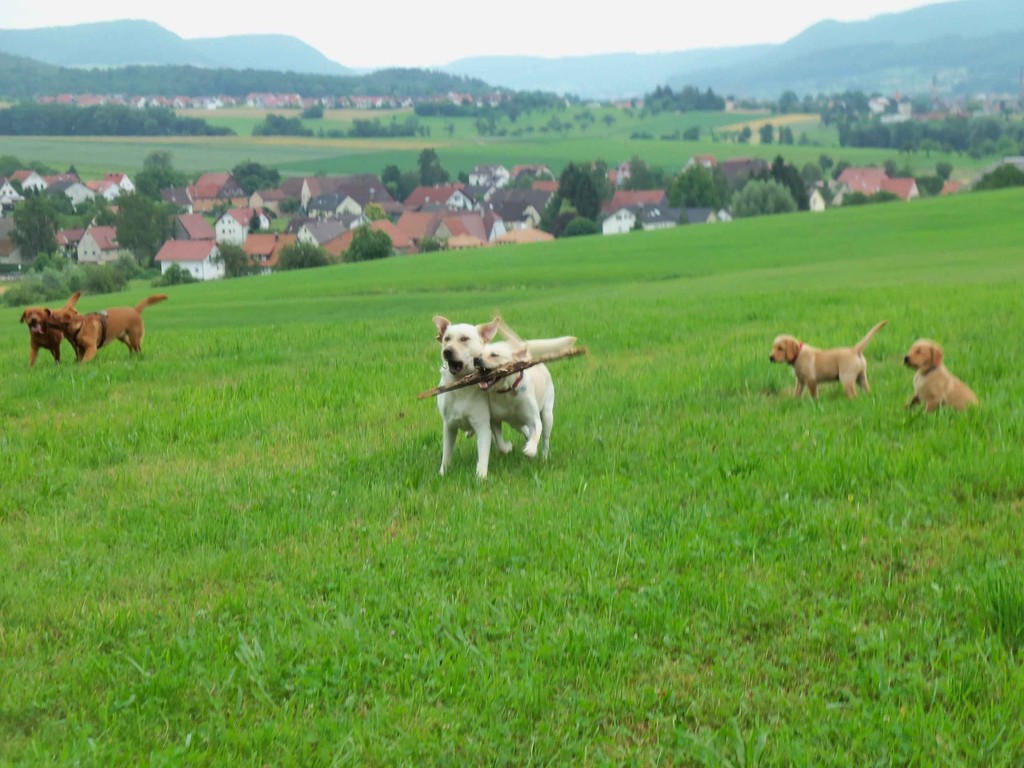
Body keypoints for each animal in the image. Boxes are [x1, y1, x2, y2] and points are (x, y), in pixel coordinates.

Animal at [432, 315, 499, 479]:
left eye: (464, 339)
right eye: (446, 339)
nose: (447, 351)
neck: (462, 386)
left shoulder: (482, 426)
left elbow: (483, 452)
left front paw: (481, 476)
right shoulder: (449, 426)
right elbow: (446, 453)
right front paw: (443, 473)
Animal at [471, 325, 577, 462]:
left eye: (494, 355)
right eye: (479, 354)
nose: (476, 359)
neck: (507, 392)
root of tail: (529, 357)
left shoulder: (533, 419)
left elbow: (537, 431)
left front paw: (530, 450)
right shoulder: (495, 420)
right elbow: (500, 441)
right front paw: (507, 447)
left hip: (547, 414)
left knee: (545, 437)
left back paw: (544, 456)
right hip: (516, 423)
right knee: (525, 430)